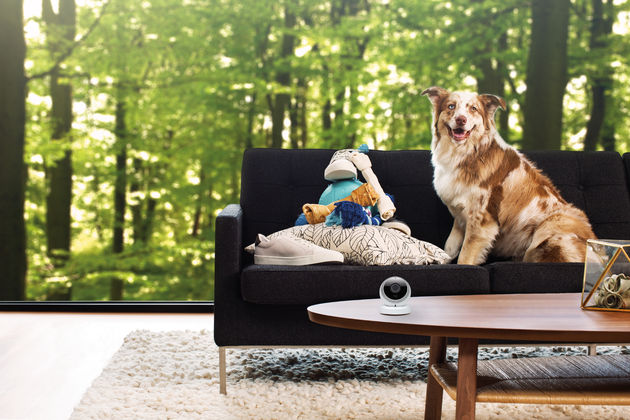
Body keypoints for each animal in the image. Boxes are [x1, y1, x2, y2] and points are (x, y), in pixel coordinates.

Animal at [424, 87, 596, 264]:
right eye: (451, 106)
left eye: (473, 109)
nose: (461, 120)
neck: (468, 153)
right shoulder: (460, 216)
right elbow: (449, 248)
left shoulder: (481, 220)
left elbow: (465, 258)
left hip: (552, 223)